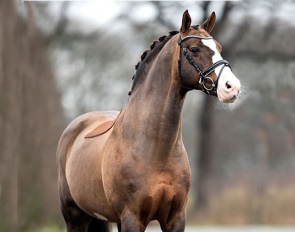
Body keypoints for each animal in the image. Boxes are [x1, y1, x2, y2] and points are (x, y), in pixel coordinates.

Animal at [56, 9, 242, 232]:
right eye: (195, 49)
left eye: (219, 48)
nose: (232, 87)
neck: (155, 148)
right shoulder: (132, 218)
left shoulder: (175, 219)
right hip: (75, 217)